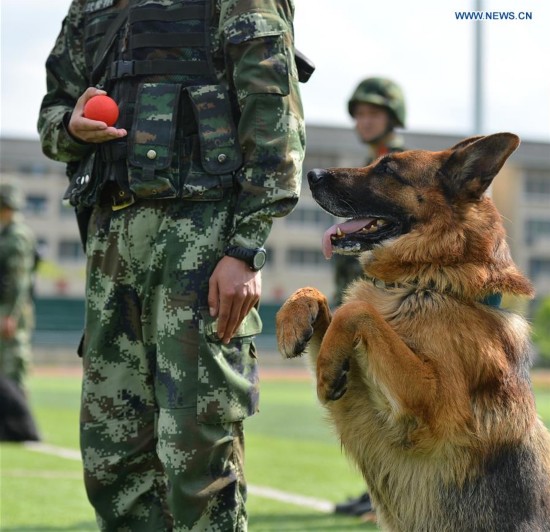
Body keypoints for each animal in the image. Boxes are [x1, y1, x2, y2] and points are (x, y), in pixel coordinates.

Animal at [278, 134, 550, 532]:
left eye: (387, 168)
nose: (310, 174)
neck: (429, 281)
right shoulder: (361, 411)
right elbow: (322, 297)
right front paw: (293, 322)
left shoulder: (432, 404)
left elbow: (357, 310)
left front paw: (326, 367)